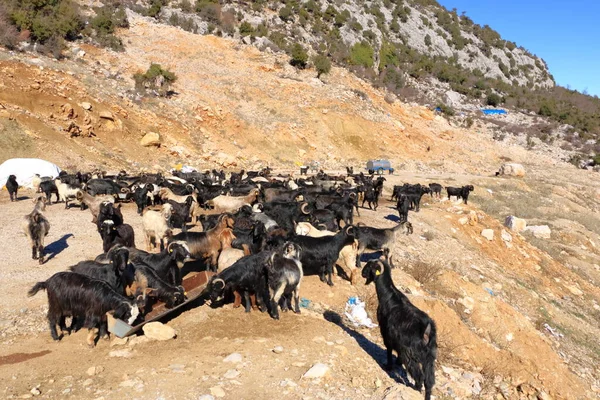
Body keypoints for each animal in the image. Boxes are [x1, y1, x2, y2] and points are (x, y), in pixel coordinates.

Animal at [360, 255, 436, 398]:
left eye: (368, 267)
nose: (362, 273)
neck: (389, 295)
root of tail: (427, 330)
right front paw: (397, 363)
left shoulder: (385, 331)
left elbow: (389, 348)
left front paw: (389, 365)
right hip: (430, 357)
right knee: (429, 381)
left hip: (411, 354)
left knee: (420, 377)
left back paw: (415, 390)